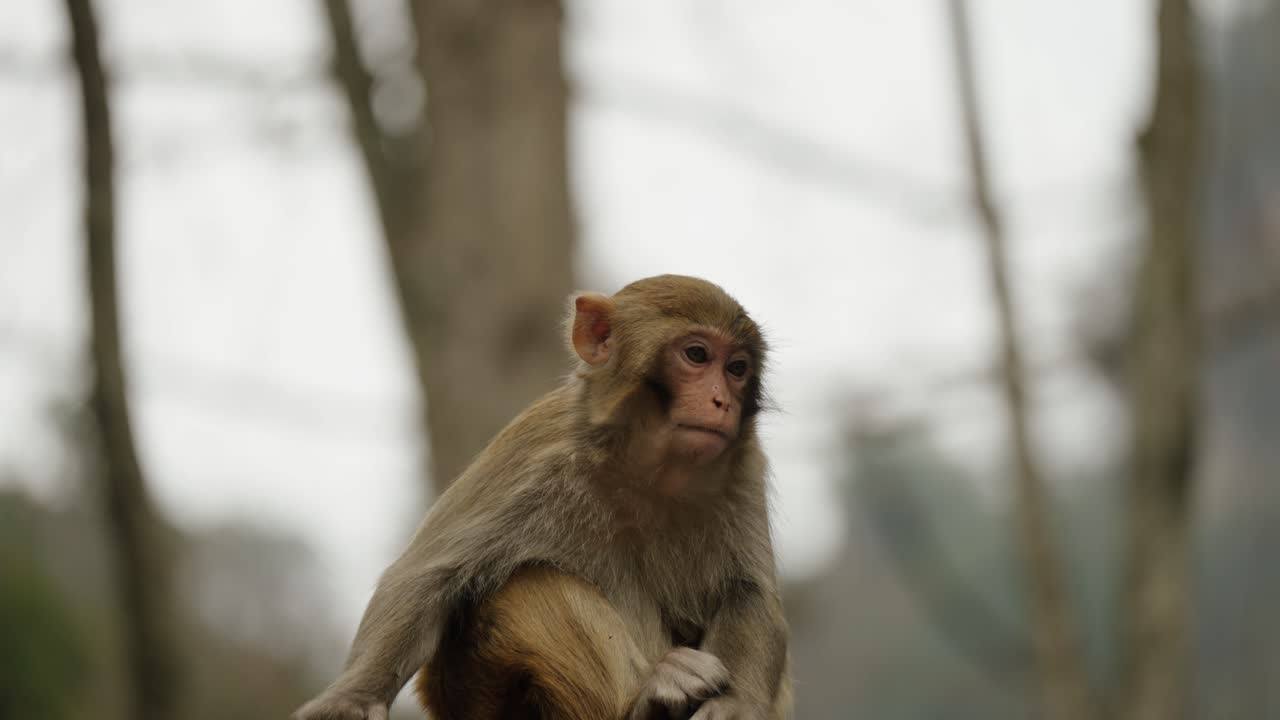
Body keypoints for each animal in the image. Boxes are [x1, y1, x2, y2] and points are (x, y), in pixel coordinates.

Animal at [294, 274, 790, 720]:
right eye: (697, 355)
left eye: (737, 369)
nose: (722, 401)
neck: (645, 465)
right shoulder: (537, 447)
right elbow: (427, 575)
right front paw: (353, 697)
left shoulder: (743, 469)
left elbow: (747, 593)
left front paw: (736, 705)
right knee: (530, 582)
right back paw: (647, 703)